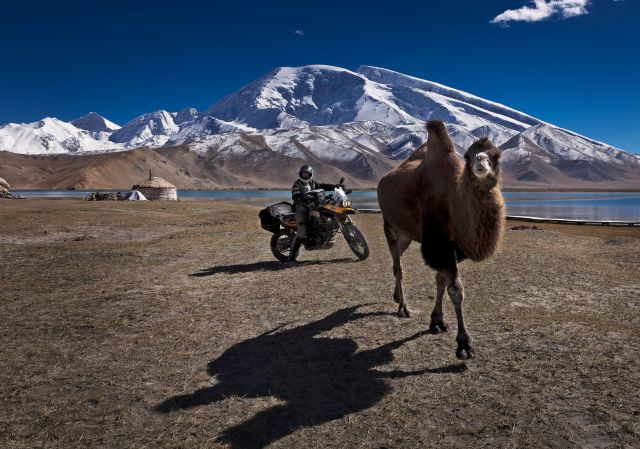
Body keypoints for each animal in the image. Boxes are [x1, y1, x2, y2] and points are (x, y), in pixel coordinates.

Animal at [376, 121, 504, 358]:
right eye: (467, 156)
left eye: (496, 155)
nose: (481, 163)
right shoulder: (438, 246)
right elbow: (456, 290)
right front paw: (464, 344)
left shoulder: (453, 249)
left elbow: (441, 281)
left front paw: (437, 321)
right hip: (390, 227)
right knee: (398, 267)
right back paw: (403, 308)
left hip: (407, 235)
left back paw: (396, 297)